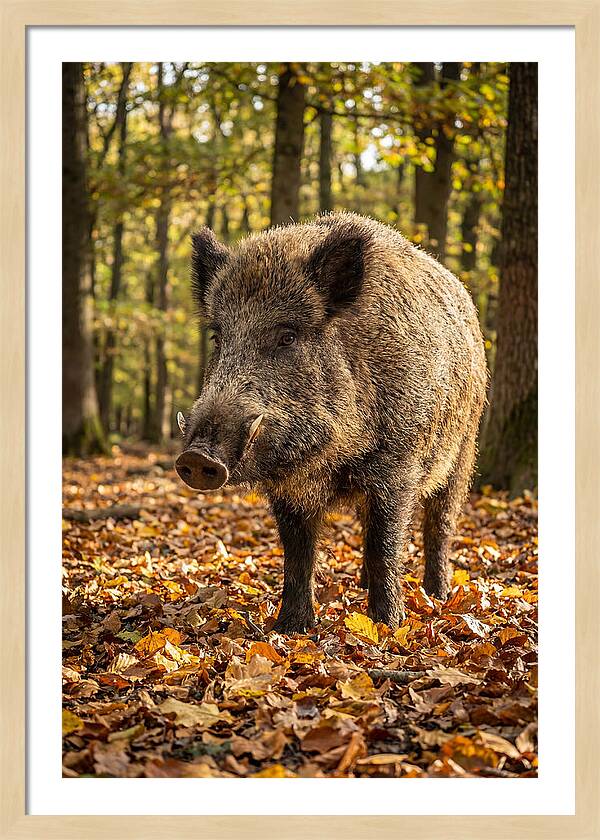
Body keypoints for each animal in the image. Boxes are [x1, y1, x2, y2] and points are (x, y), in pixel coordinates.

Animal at [176, 212, 487, 634]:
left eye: (287, 336)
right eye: (217, 337)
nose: (196, 457)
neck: (328, 459)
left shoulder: (397, 467)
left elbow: (385, 544)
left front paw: (387, 626)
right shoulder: (289, 490)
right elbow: (298, 553)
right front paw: (290, 628)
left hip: (464, 449)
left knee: (440, 524)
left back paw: (437, 595)